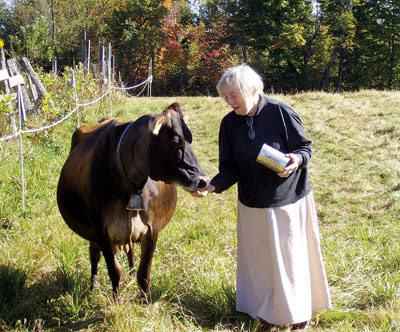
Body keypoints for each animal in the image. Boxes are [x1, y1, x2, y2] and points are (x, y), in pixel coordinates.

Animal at [57, 103, 208, 296]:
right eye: (175, 141)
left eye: (190, 139)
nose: (203, 181)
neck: (130, 185)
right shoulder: (101, 231)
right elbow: (114, 271)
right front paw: (116, 300)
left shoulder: (152, 230)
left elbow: (143, 274)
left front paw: (144, 300)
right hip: (93, 233)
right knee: (94, 253)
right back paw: (94, 284)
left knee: (131, 253)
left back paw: (130, 274)